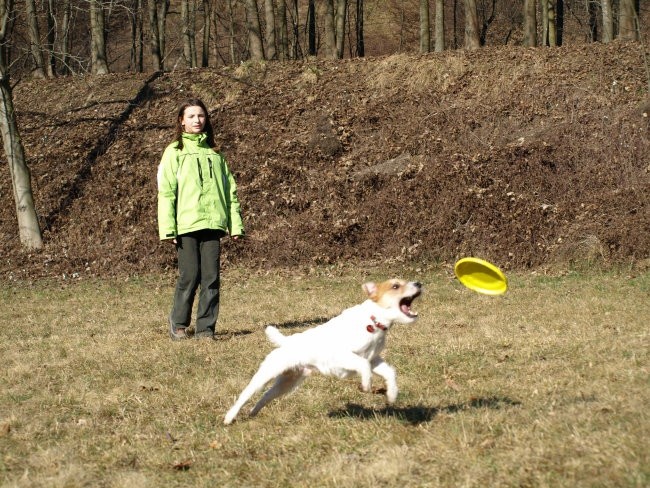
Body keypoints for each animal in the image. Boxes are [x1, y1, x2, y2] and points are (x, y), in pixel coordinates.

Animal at [223, 280, 420, 426]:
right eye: (395, 286)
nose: (419, 283)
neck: (373, 321)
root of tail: (287, 342)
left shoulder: (374, 359)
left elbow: (389, 372)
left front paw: (392, 395)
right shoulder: (343, 357)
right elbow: (362, 365)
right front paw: (366, 385)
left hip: (288, 382)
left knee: (265, 397)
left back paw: (253, 413)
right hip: (266, 375)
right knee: (245, 395)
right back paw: (229, 418)